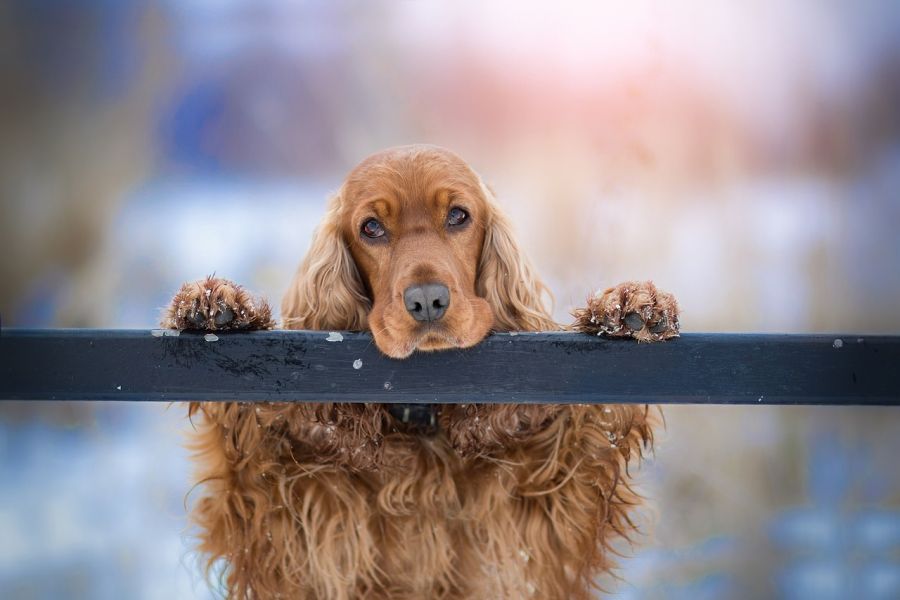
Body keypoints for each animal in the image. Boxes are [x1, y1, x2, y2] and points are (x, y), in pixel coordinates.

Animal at [165, 146, 680, 600]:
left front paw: (630, 307)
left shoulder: (545, 517)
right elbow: (246, 452)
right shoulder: (288, 520)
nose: (428, 300)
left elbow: (589, 430)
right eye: (371, 228)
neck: (422, 421)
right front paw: (219, 305)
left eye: (458, 216)